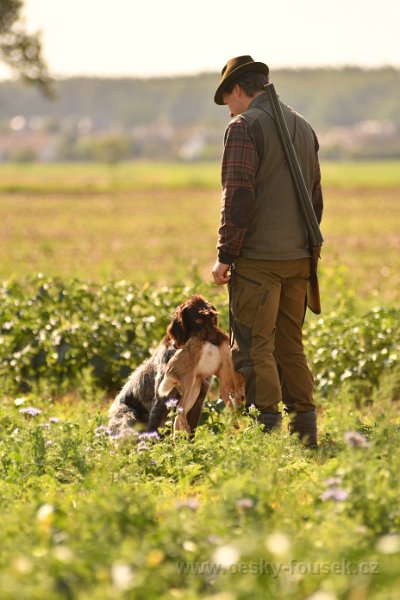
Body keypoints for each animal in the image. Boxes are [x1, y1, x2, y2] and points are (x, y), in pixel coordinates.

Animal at [108, 294, 227, 436]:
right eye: (198, 320)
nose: (221, 339)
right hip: (129, 418)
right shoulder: (162, 400)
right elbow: (153, 429)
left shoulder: (198, 399)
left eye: (213, 318)